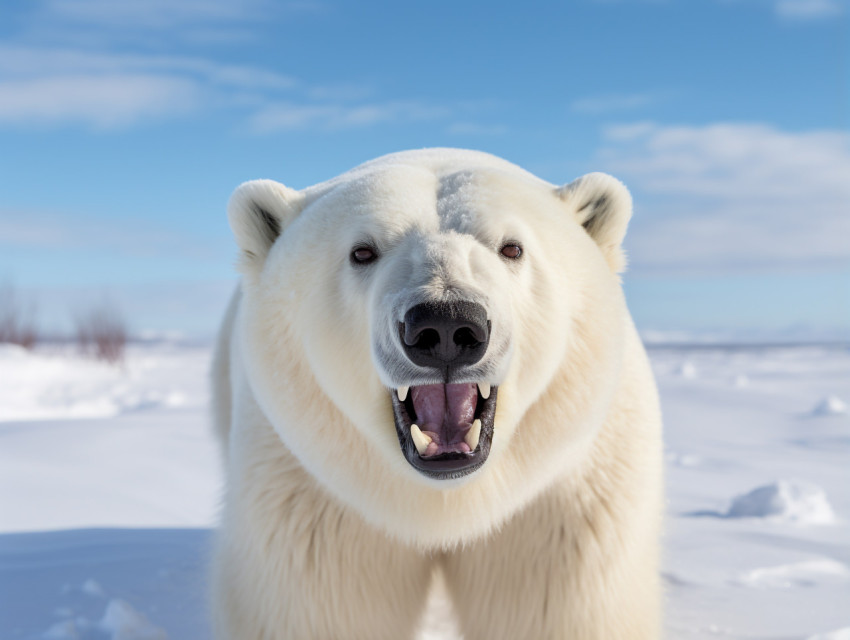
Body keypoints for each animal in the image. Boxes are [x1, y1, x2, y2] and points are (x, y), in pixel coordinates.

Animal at [209, 149, 660, 640]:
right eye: (362, 251)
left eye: (512, 248)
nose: (445, 325)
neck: (445, 502)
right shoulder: (311, 503)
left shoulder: (564, 506)